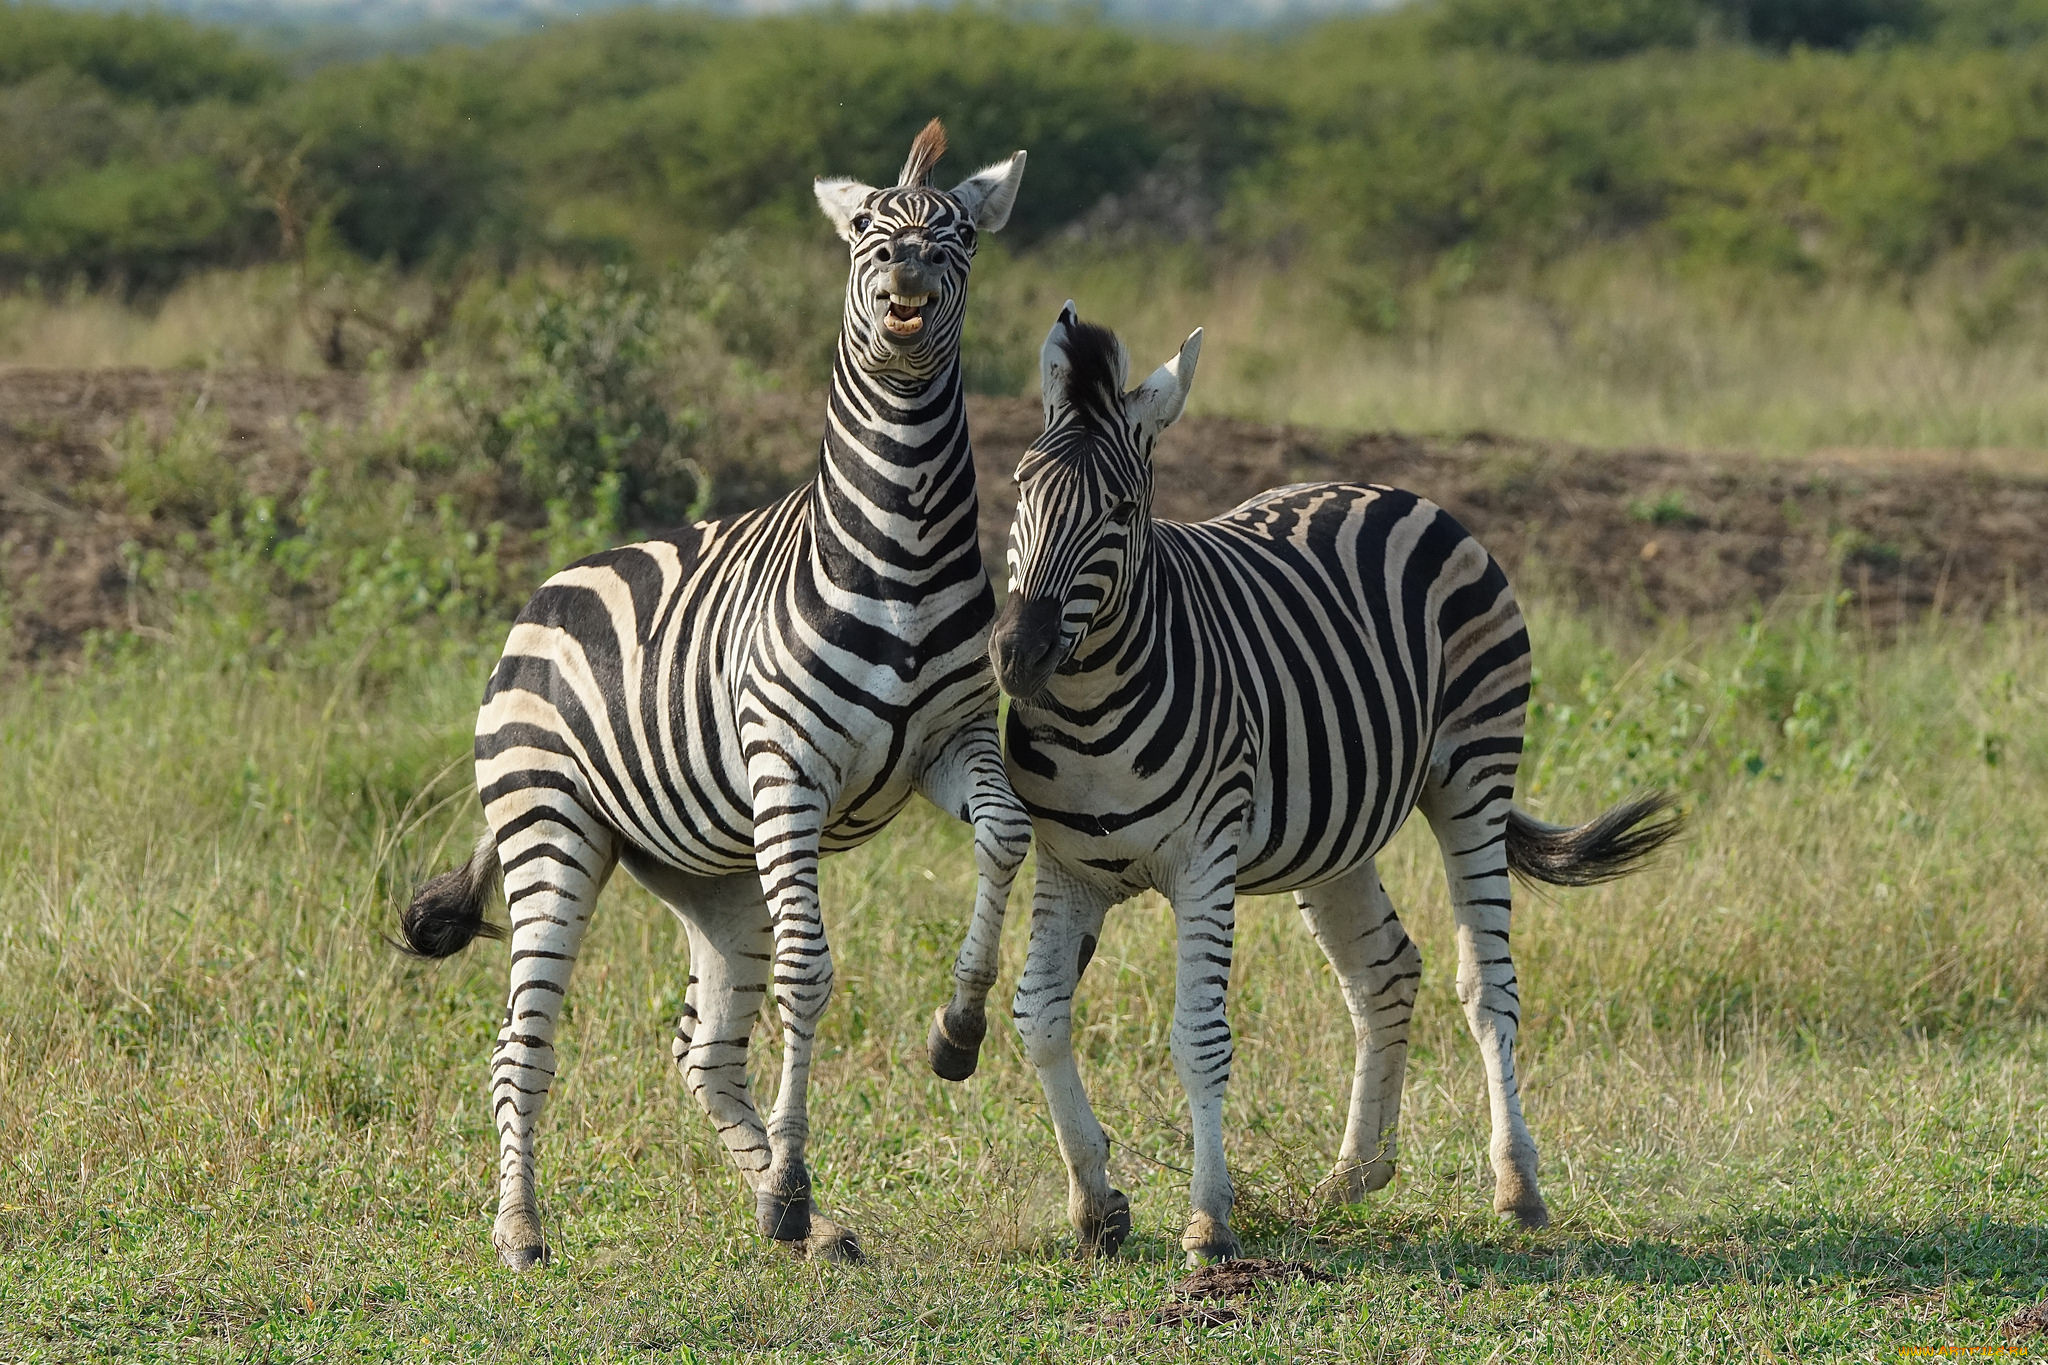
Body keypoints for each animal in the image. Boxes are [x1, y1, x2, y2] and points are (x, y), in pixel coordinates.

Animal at [399, 120, 1040, 1268]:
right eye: (866, 230)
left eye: (959, 234)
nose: (907, 277)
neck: (904, 547)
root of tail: (543, 594)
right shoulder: (790, 772)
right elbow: (809, 975)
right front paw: (787, 1181)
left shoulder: (951, 741)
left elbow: (1006, 835)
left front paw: (956, 1032)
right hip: (551, 828)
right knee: (522, 1043)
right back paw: (522, 1229)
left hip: (711, 873)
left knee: (702, 1051)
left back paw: (808, 1224)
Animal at [987, 304, 1679, 1268]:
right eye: (1020, 485)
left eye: (1121, 511)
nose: (1017, 653)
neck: (1090, 714)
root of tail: (1384, 487)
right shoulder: (1068, 869)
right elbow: (1040, 1017)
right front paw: (1095, 1204)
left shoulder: (1204, 862)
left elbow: (1198, 1038)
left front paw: (1209, 1220)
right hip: (1336, 828)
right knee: (1385, 971)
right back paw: (1355, 1174)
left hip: (1473, 775)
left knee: (1487, 985)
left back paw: (1517, 1186)